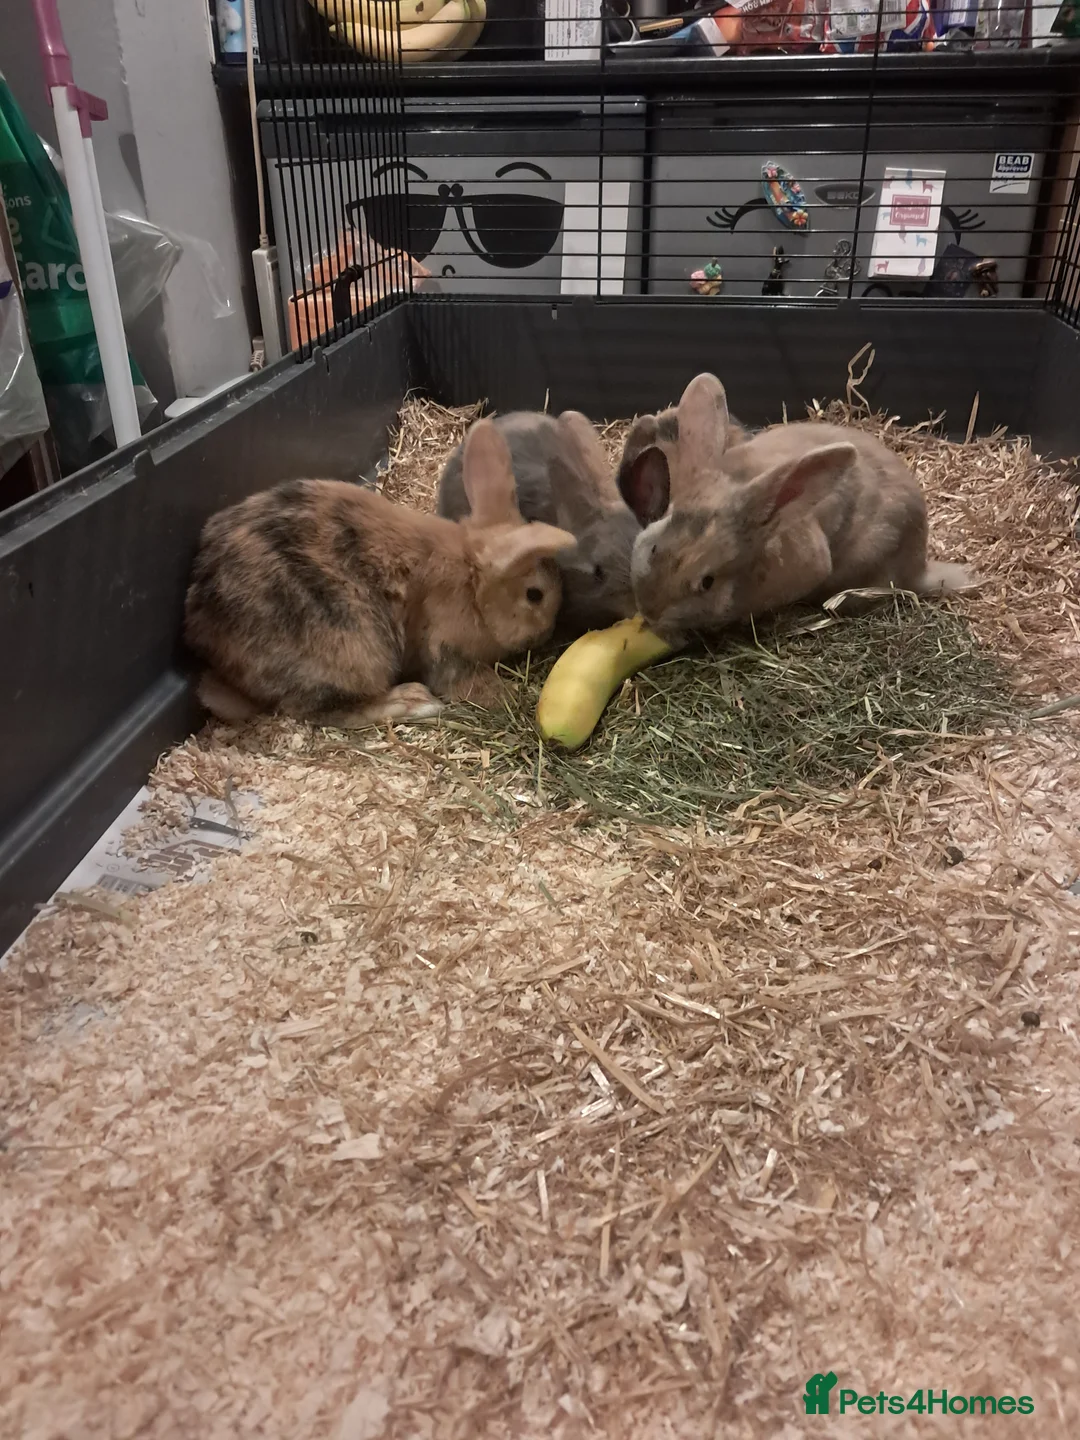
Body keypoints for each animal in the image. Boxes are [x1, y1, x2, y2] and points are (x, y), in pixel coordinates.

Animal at [184, 419, 578, 728]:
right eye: (535, 595)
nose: (546, 633)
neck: (471, 583)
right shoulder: (444, 647)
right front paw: (504, 695)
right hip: (355, 650)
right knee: (324, 710)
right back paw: (413, 701)